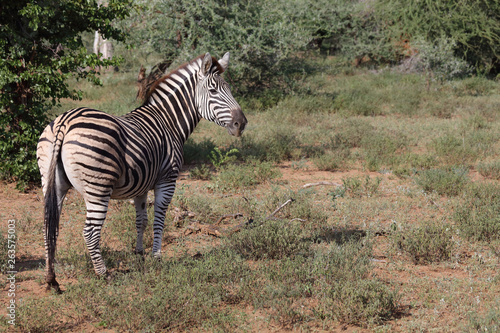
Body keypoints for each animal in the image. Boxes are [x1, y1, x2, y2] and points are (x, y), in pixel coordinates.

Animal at [36, 52, 247, 290]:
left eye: (229, 89)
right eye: (213, 91)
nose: (241, 124)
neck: (169, 122)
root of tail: (64, 122)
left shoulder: (141, 185)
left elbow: (141, 220)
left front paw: (140, 254)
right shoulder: (167, 179)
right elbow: (159, 218)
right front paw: (156, 257)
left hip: (52, 181)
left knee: (48, 226)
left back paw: (51, 279)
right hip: (98, 187)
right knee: (89, 232)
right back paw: (103, 274)